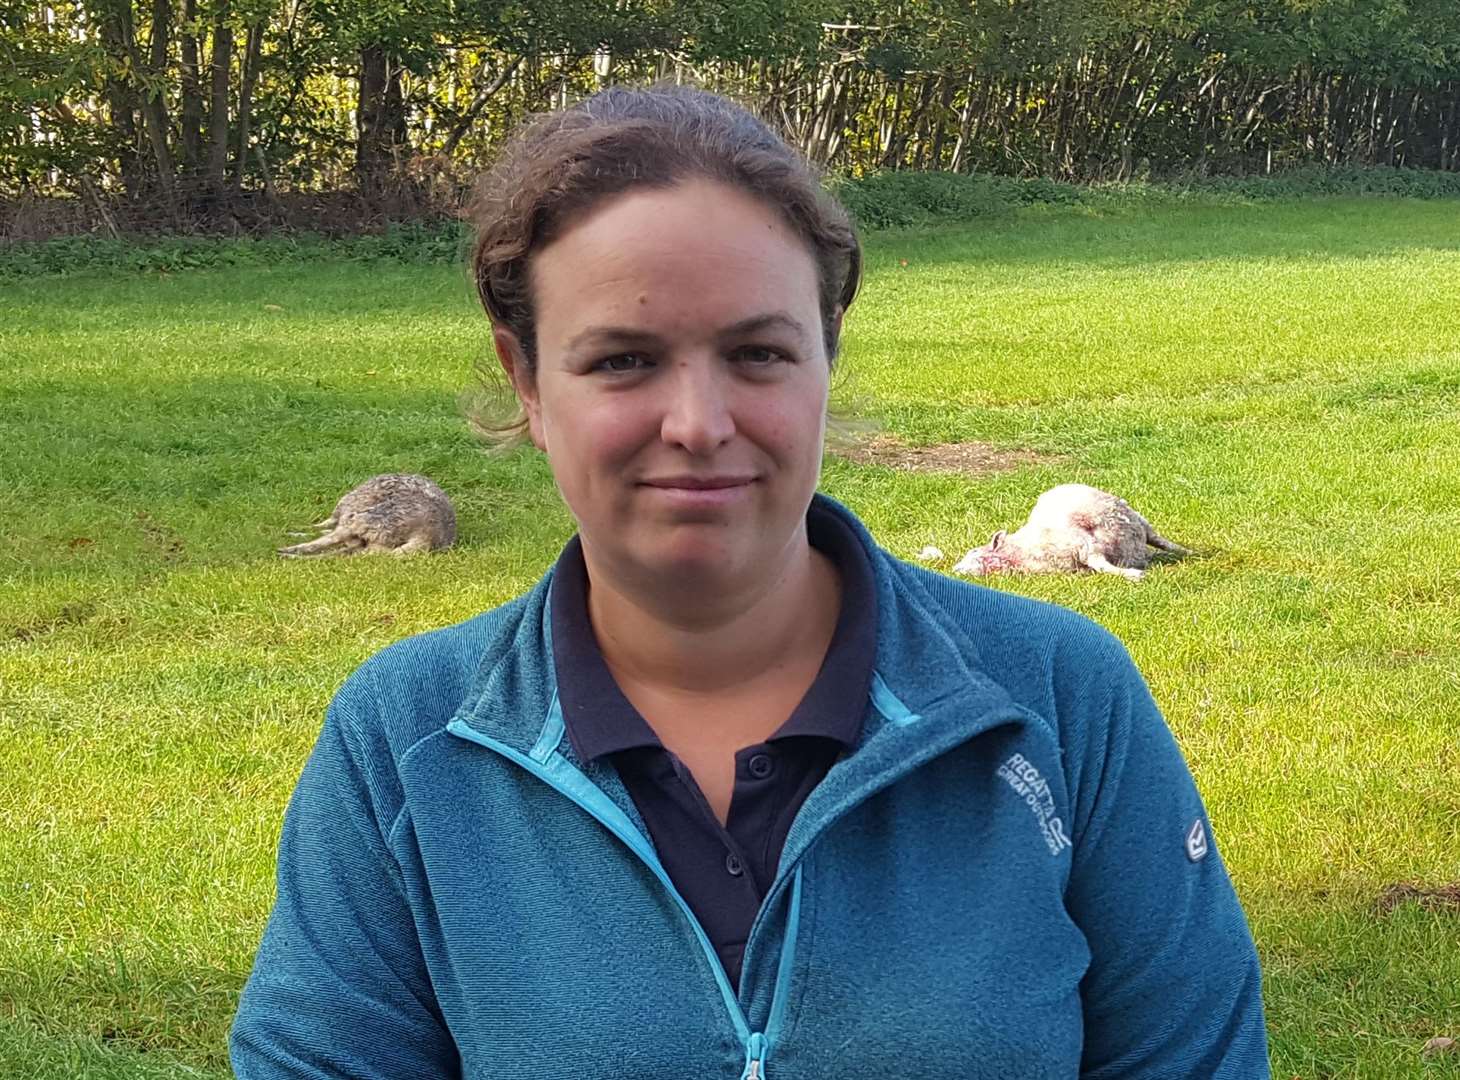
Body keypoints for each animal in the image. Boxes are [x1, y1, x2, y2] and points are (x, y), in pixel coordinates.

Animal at [957, 481, 1185, 580]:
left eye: (973, 553)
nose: (955, 569)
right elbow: (1098, 566)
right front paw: (1133, 574)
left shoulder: (1084, 545)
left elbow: (1100, 564)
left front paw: (1134, 575)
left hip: (1133, 519)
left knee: (1159, 538)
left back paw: (1187, 552)